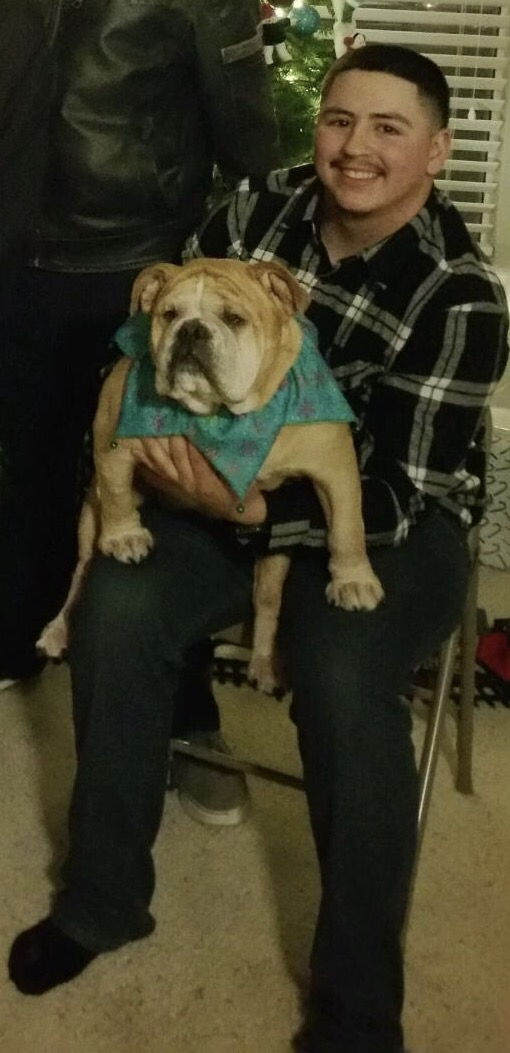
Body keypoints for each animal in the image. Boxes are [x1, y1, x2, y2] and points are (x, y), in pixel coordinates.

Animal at [37, 257, 384, 692]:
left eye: (234, 319)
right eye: (169, 314)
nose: (191, 329)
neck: (225, 418)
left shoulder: (334, 464)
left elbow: (348, 525)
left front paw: (353, 579)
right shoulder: (110, 432)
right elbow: (116, 489)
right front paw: (124, 536)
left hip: (275, 556)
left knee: (268, 601)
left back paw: (264, 663)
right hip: (88, 517)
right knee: (81, 571)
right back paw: (58, 629)